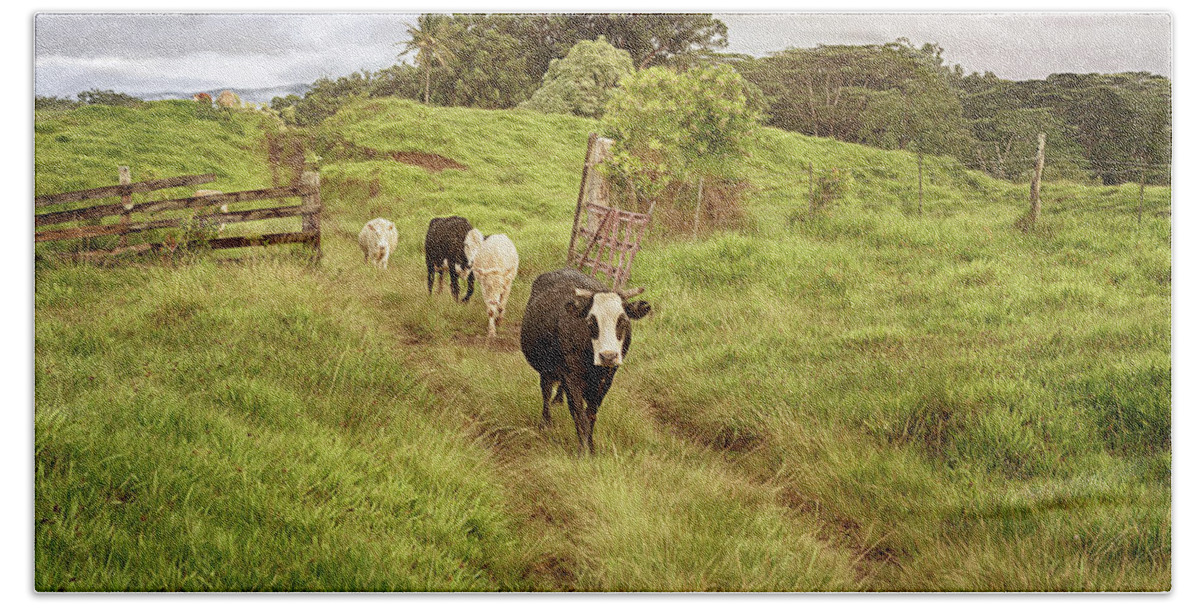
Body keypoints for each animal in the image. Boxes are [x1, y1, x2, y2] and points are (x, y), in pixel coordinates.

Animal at [518, 268, 652, 455]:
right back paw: (546, 422)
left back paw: (558, 401)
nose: (608, 356)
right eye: (591, 321)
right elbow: (578, 412)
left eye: (623, 320)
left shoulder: (606, 379)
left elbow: (591, 413)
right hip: (546, 368)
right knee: (546, 391)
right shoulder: (571, 377)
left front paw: (591, 446)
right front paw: (583, 450)